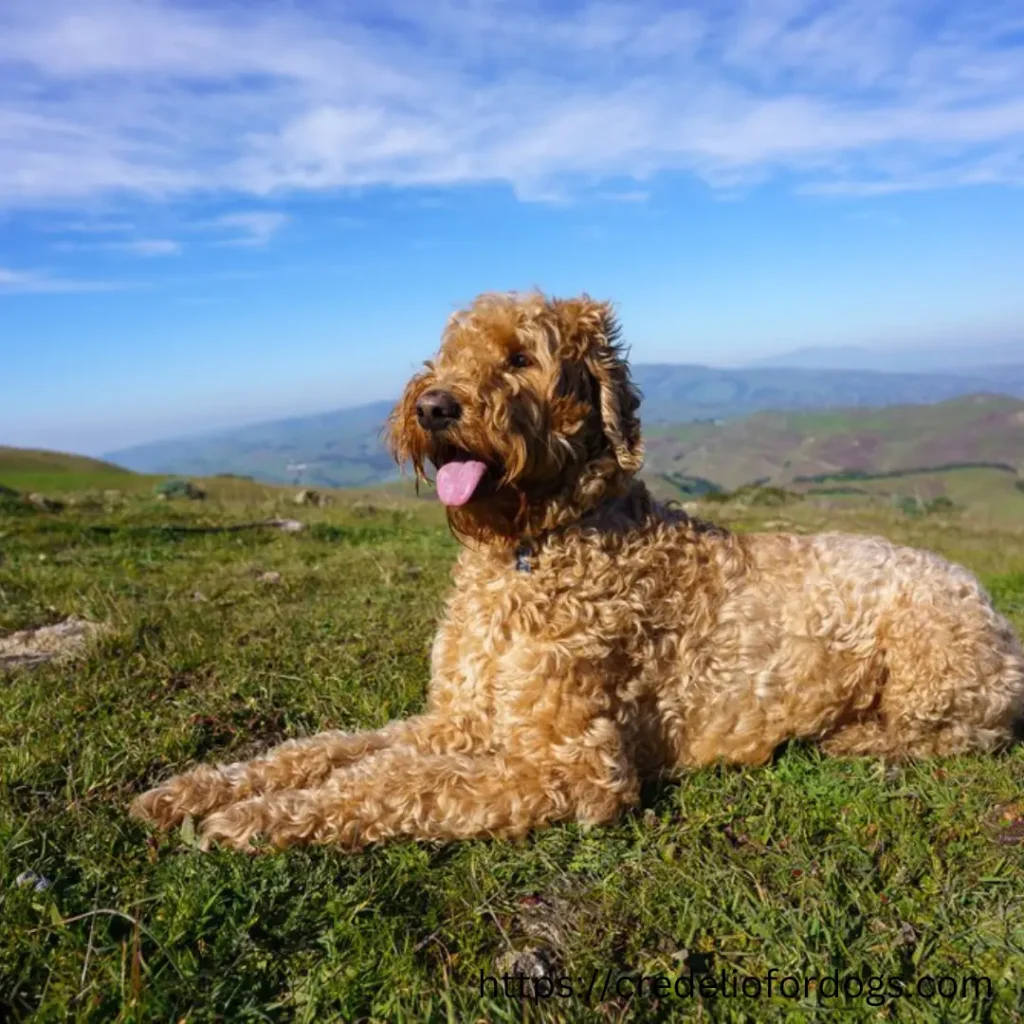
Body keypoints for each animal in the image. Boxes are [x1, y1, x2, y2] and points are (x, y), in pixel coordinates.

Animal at [130, 288, 1024, 847]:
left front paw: (260, 818)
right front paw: (202, 790)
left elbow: (401, 782)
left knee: (962, 732)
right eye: (446, 353)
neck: (531, 550)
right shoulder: (458, 716)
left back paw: (857, 737)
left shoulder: (574, 766)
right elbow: (335, 749)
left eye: (521, 358)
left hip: (933, 663)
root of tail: (988, 601)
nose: (433, 406)